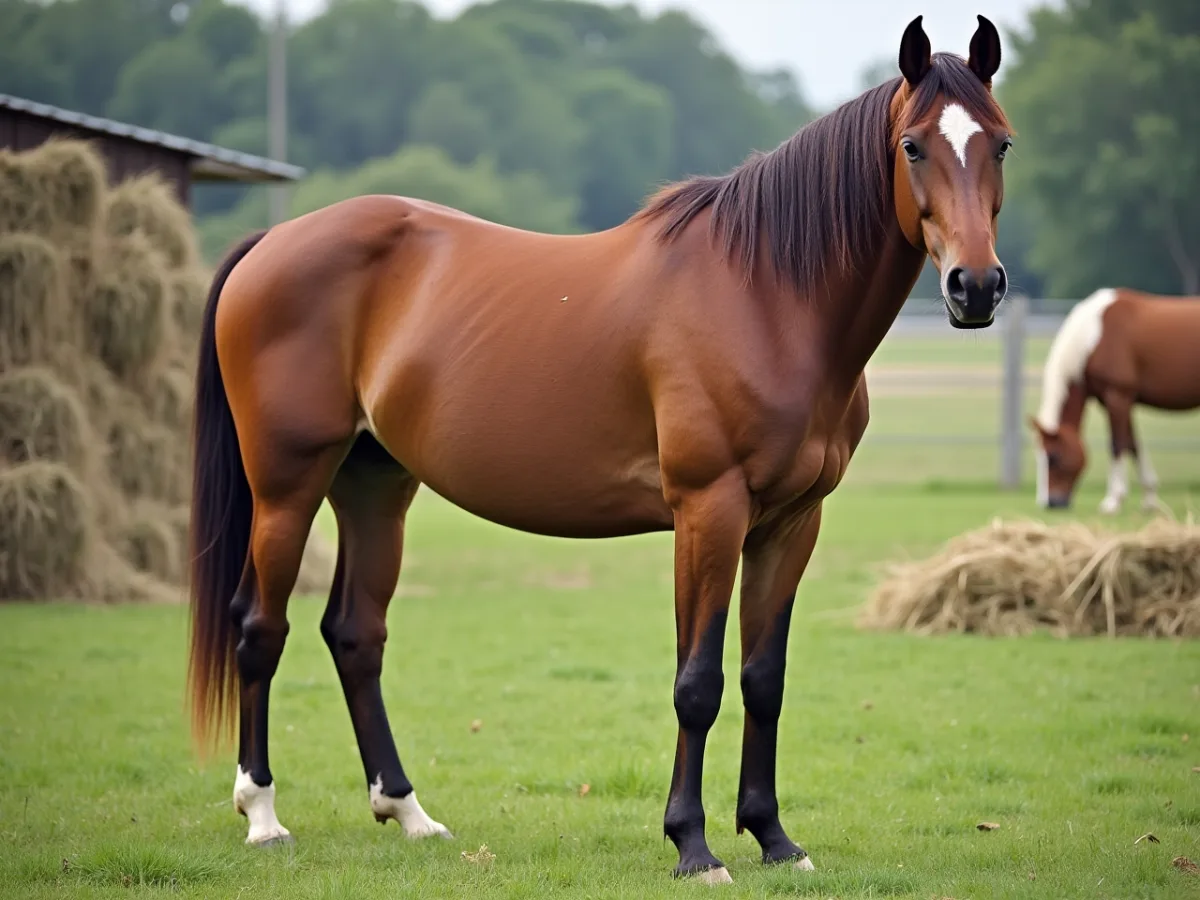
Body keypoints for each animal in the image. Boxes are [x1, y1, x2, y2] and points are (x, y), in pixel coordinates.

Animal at [186, 15, 1011, 884]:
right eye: (914, 145)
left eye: (1002, 143)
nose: (975, 286)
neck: (767, 298)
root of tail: (272, 240)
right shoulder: (709, 512)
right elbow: (698, 683)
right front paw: (694, 846)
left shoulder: (791, 523)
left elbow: (764, 679)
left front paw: (774, 839)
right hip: (288, 486)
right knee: (259, 628)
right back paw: (262, 816)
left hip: (375, 483)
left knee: (355, 634)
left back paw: (408, 811)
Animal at [1030, 287, 1200, 513]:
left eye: (1053, 457)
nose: (1050, 503)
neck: (1093, 336)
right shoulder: (1122, 401)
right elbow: (1133, 445)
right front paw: (1149, 499)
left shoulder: (1117, 397)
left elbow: (1117, 445)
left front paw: (1113, 500)